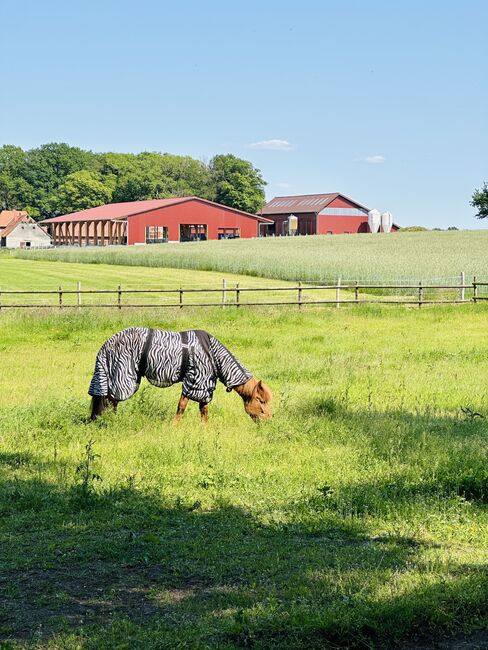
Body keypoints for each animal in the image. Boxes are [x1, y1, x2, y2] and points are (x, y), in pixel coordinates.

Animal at [89, 326, 272, 422]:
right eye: (261, 401)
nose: (269, 421)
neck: (212, 354)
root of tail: (106, 344)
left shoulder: (203, 386)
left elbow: (203, 410)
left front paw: (205, 430)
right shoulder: (194, 382)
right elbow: (182, 407)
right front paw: (175, 426)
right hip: (122, 378)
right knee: (111, 400)